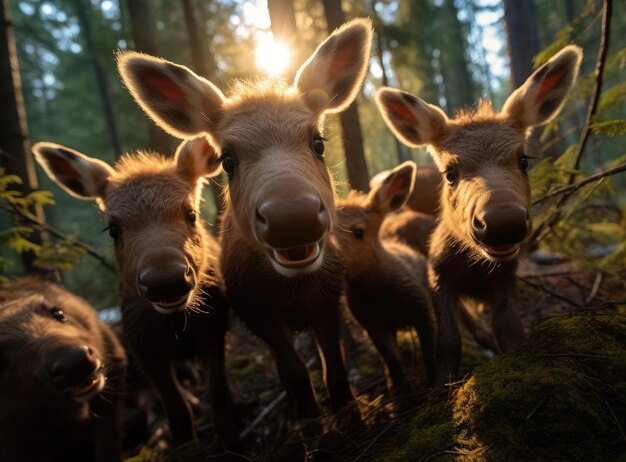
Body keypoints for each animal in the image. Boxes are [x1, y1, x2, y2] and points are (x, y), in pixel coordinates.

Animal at [34, 137, 239, 448]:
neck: (176, 326)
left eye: (191, 213)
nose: (165, 280)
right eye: (113, 229)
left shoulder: (214, 329)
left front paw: (230, 444)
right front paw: (185, 444)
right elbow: (177, 409)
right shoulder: (144, 346)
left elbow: (219, 395)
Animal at [336, 162, 434, 394]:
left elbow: (431, 353)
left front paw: (436, 383)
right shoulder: (371, 323)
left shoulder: (421, 307)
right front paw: (403, 392)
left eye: (359, 231)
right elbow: (392, 361)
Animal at [372, 45, 584, 384]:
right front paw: (444, 383)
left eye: (524, 160)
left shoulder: (506, 280)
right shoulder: (438, 276)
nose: (503, 221)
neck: (474, 270)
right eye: (450, 172)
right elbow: (447, 341)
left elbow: (510, 330)